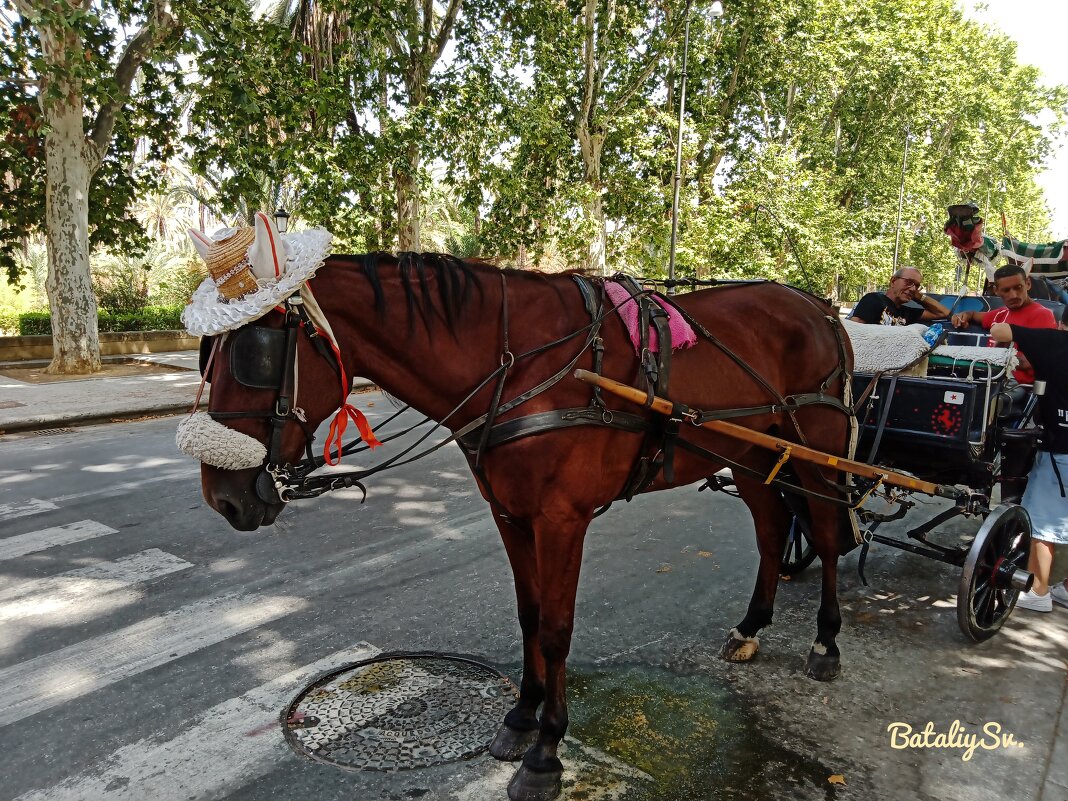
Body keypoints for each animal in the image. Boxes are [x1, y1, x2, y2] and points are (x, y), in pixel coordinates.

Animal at [196, 254, 854, 801]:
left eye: (254, 352)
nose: (223, 498)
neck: (514, 367)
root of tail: (820, 305)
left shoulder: (561, 520)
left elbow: (557, 630)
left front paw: (546, 751)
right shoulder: (511, 514)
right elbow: (530, 615)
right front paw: (521, 717)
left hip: (817, 450)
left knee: (825, 536)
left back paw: (826, 641)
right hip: (753, 457)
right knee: (772, 530)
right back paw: (752, 624)